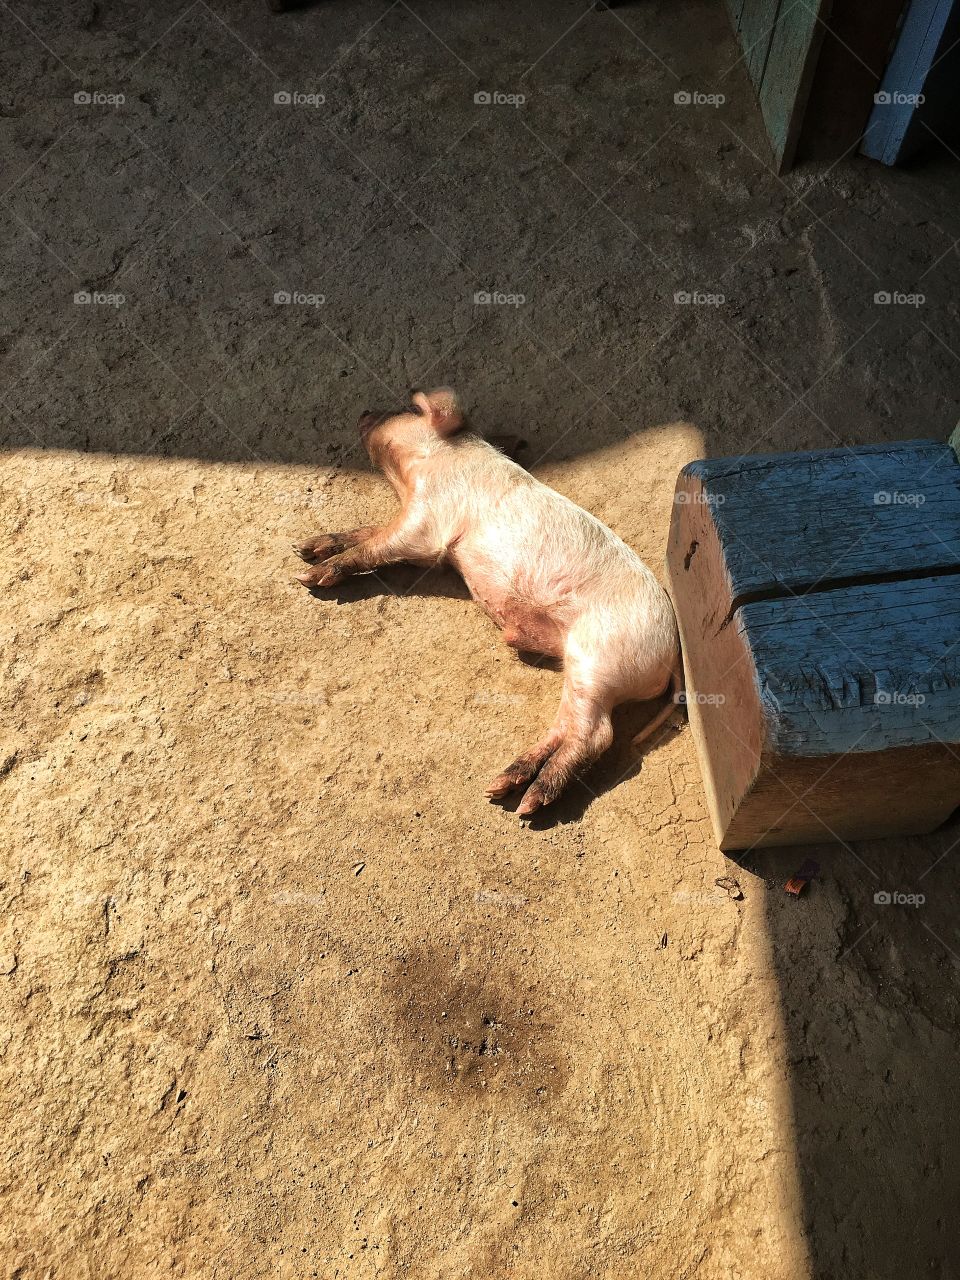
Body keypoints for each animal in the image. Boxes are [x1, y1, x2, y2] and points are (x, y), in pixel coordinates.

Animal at [296, 384, 680, 814]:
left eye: (408, 407)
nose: (364, 411)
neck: (418, 475)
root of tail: (671, 656)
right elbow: (366, 532)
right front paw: (303, 549)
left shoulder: (429, 523)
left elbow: (375, 547)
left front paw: (307, 577)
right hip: (583, 671)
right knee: (567, 727)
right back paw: (499, 787)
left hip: (600, 660)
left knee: (596, 734)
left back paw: (529, 805)